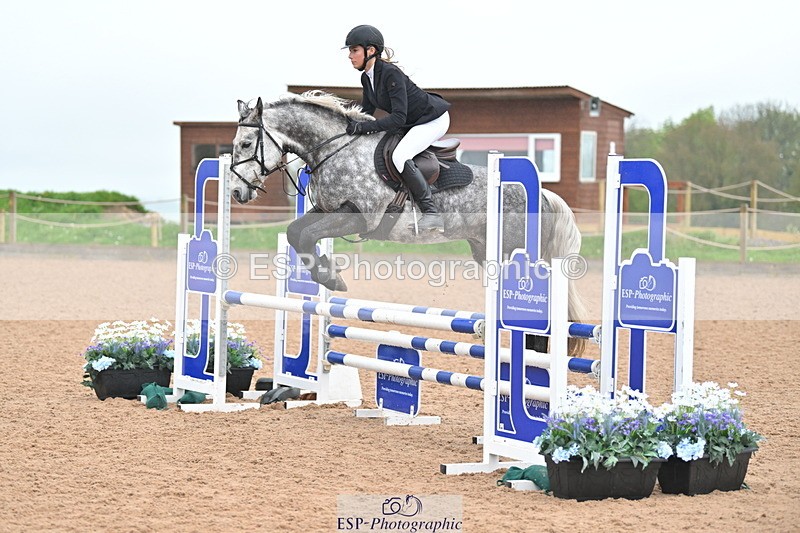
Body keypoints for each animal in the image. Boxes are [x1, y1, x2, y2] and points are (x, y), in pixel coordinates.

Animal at [230, 91, 587, 354]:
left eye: (246, 144)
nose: (236, 191)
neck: (335, 150)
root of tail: (543, 195)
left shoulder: (358, 217)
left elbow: (306, 236)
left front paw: (333, 280)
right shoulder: (326, 210)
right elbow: (296, 233)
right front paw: (328, 274)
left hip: (514, 253)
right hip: (486, 251)